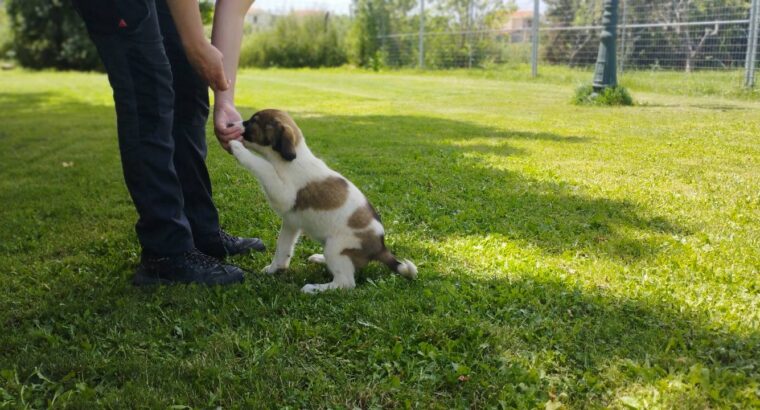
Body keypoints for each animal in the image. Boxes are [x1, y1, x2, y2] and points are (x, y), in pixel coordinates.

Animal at [229, 110, 418, 294]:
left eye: (254, 121)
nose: (230, 124)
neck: (292, 161)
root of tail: (380, 247)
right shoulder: (291, 223)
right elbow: (282, 249)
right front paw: (273, 269)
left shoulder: (283, 193)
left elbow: (263, 166)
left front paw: (237, 148)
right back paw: (320, 259)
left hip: (336, 247)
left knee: (345, 283)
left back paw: (314, 288)